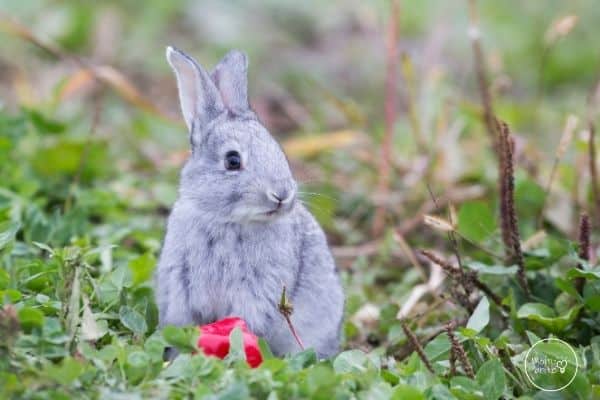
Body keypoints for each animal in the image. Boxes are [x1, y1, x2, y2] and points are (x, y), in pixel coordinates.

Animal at [155, 47, 342, 360]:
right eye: (232, 161)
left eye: (279, 152)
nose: (281, 195)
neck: (227, 220)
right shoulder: (180, 287)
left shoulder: (257, 292)